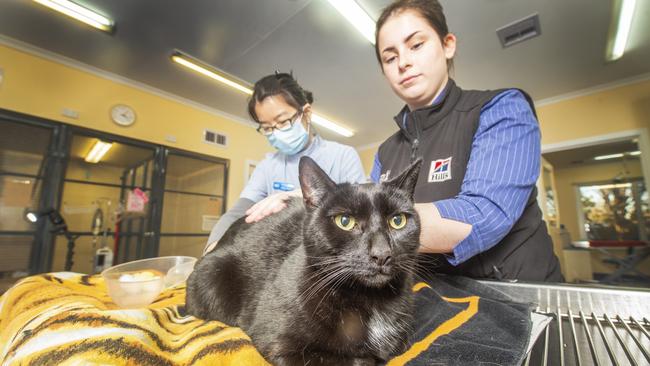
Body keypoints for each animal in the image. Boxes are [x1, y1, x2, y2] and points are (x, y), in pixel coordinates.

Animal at [185, 156, 422, 364]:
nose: (381, 253)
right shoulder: (279, 344)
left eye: (398, 221)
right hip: (212, 274)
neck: (371, 300)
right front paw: (366, 357)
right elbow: (354, 360)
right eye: (345, 221)